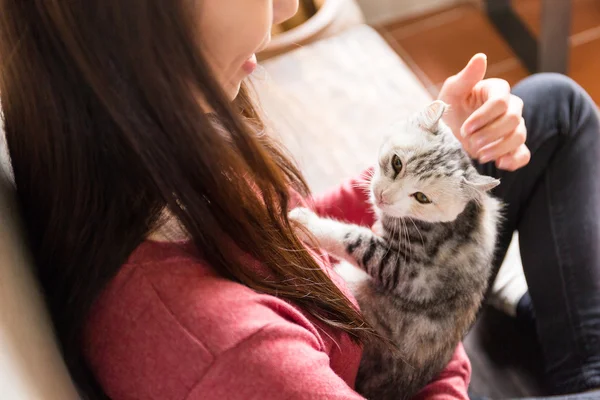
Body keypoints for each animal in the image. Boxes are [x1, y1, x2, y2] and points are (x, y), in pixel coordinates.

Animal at [290, 101, 502, 400]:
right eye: (397, 163)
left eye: (422, 197)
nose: (383, 197)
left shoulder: (410, 273)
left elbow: (356, 239)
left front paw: (306, 223)